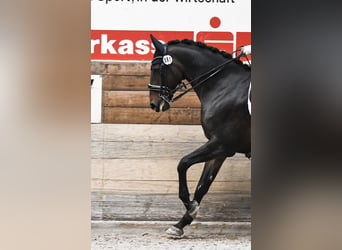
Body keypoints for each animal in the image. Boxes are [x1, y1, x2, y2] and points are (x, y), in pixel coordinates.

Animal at [148, 35, 250, 236]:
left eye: (155, 68)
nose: (154, 104)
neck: (225, 85)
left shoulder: (221, 143)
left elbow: (183, 164)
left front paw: (190, 206)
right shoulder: (220, 150)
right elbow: (203, 185)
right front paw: (180, 224)